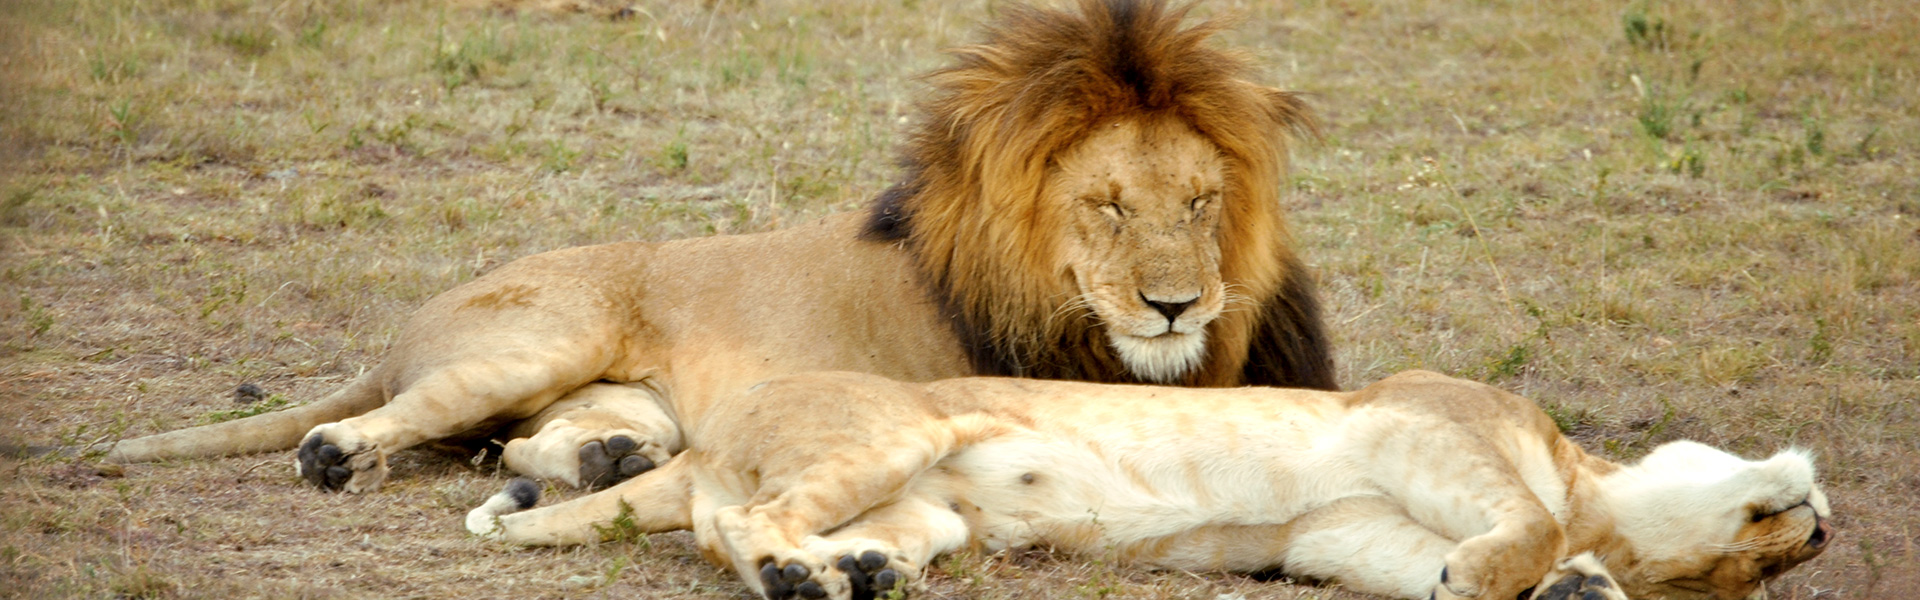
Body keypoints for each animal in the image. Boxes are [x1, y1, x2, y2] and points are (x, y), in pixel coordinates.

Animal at [71, 0, 1336, 492]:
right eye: (1109, 206)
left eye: (1200, 202)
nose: (1176, 307)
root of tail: (404, 330)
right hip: (537, 337)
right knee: (385, 421)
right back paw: (338, 453)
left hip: (609, 393)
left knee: (524, 444)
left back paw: (605, 462)